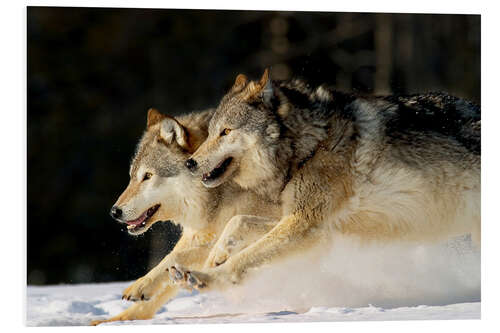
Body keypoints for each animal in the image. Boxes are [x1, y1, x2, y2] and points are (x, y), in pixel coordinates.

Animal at [91, 107, 282, 322]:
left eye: (148, 176)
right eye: (132, 177)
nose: (114, 211)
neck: (217, 194)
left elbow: (178, 256)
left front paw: (141, 285)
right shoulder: (196, 234)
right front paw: (113, 320)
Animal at [179, 69, 480, 290]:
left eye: (226, 132)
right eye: (210, 133)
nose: (189, 163)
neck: (310, 144)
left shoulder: (305, 224)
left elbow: (243, 259)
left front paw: (205, 277)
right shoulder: (315, 227)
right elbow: (237, 222)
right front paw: (214, 257)